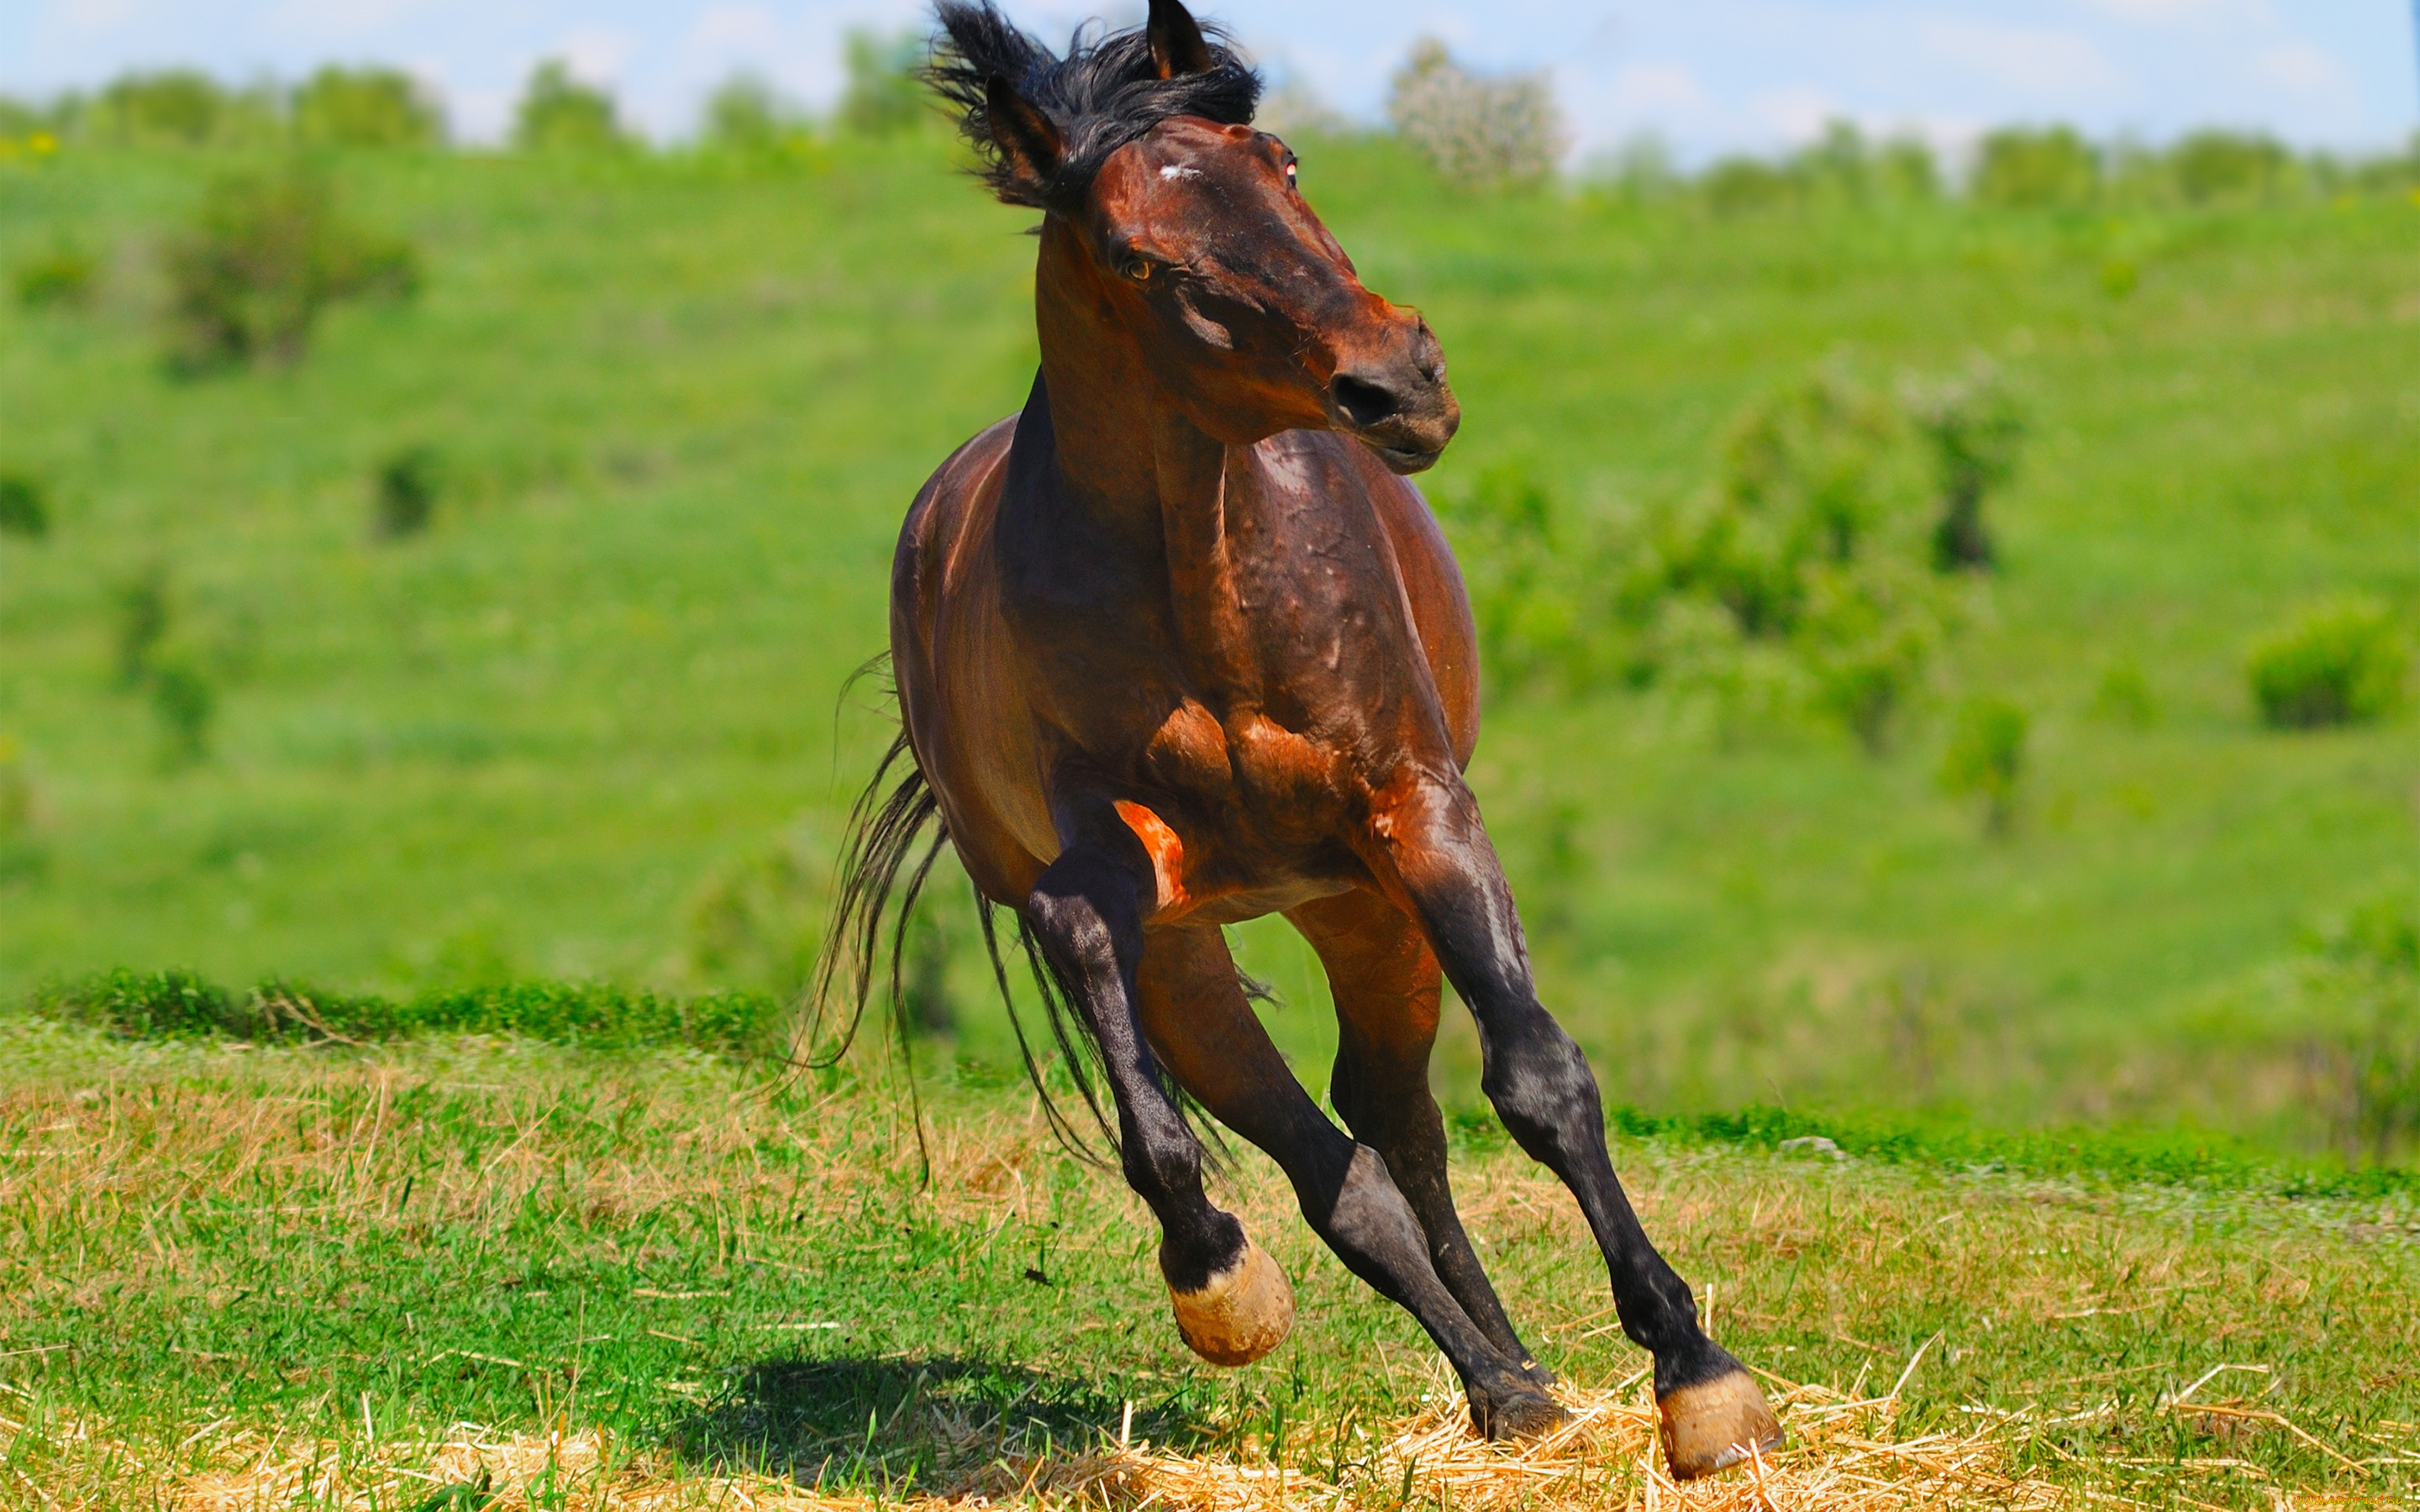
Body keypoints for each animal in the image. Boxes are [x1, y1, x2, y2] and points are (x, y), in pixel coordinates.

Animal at [823, 0, 1791, 1471]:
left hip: (1361, 905)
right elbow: (1110, 994)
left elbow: (1541, 1079)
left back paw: (1520, 1378)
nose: (1396, 382)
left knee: (1397, 1124)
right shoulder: (1117, 871)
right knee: (1344, 1170)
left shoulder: (1417, 811)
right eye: (1133, 253)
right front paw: (1216, 1277)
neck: (1203, 575)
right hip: (1204, 951)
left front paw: (1700, 1378)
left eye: (1281, 160)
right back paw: (1492, 1382)